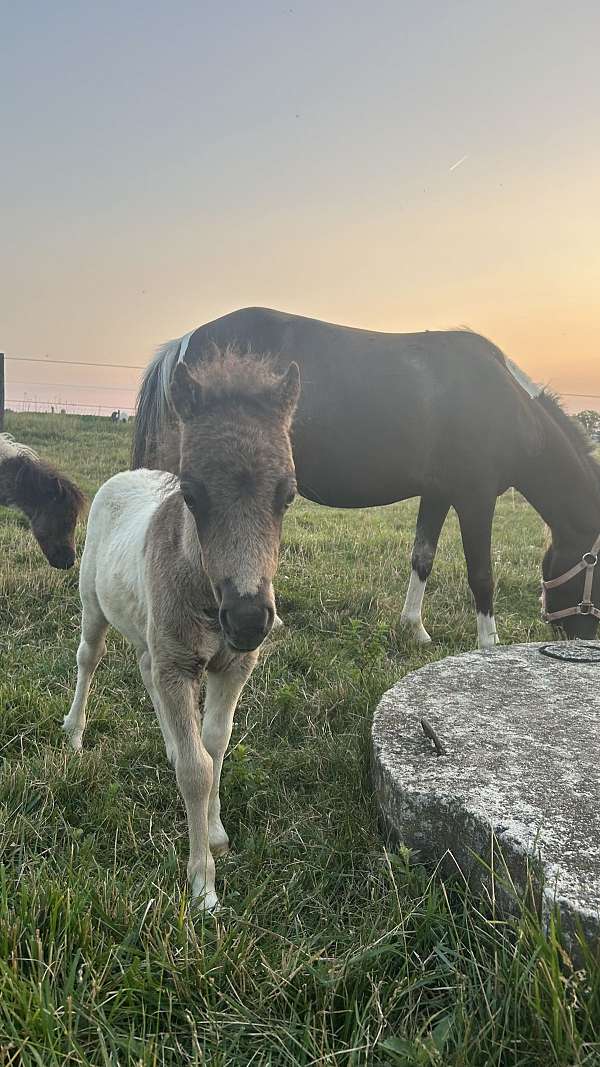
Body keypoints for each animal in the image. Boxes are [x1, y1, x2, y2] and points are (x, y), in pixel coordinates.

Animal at [64, 348, 300, 910]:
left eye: (288, 495)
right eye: (192, 494)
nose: (248, 619)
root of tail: (126, 476)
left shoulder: (232, 666)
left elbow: (214, 745)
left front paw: (214, 831)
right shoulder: (180, 663)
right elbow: (197, 770)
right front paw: (203, 886)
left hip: (157, 641)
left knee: (146, 671)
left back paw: (171, 740)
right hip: (94, 607)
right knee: (89, 659)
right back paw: (75, 732)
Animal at [132, 307, 600, 646]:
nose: (584, 637)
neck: (507, 404)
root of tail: (184, 342)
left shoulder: (438, 494)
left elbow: (422, 557)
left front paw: (415, 628)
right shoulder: (475, 497)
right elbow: (481, 574)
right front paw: (489, 646)